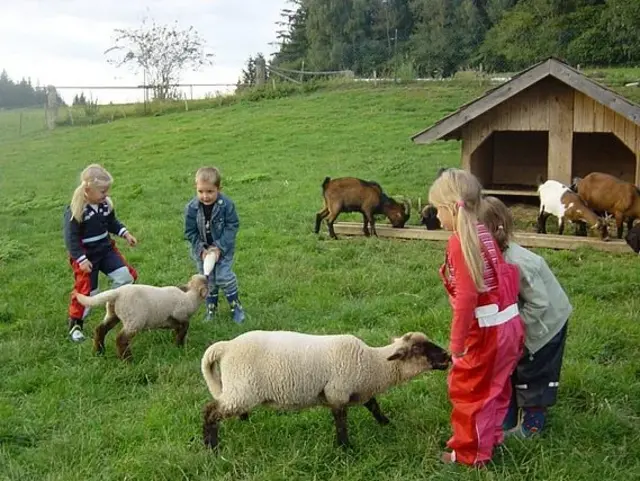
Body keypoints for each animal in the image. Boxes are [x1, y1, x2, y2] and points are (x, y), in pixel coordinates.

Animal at [75, 274, 208, 360]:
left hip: (112, 314)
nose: (207, 276)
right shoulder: (179, 315)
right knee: (121, 339)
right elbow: (184, 327)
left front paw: (177, 345)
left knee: (100, 329)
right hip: (134, 320)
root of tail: (117, 293)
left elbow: (178, 330)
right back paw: (127, 360)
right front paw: (179, 344)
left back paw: (99, 352)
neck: (190, 297)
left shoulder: (172, 321)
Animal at [200, 328, 450, 448]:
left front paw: (387, 424)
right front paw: (345, 448)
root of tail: (226, 347)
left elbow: (374, 406)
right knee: (210, 411)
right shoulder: (337, 392)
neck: (372, 364)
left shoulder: (359, 391)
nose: (448, 356)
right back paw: (211, 447)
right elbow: (341, 423)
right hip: (242, 390)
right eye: (418, 349)